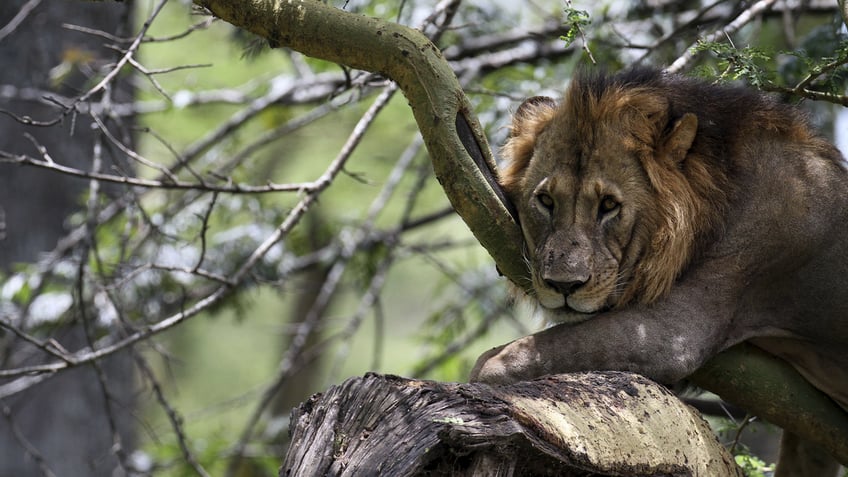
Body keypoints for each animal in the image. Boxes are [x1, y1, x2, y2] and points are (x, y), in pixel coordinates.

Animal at [470, 68, 848, 472]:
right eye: (545, 201)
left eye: (609, 205)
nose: (564, 285)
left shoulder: (675, 332)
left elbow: (534, 350)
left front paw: (481, 373)